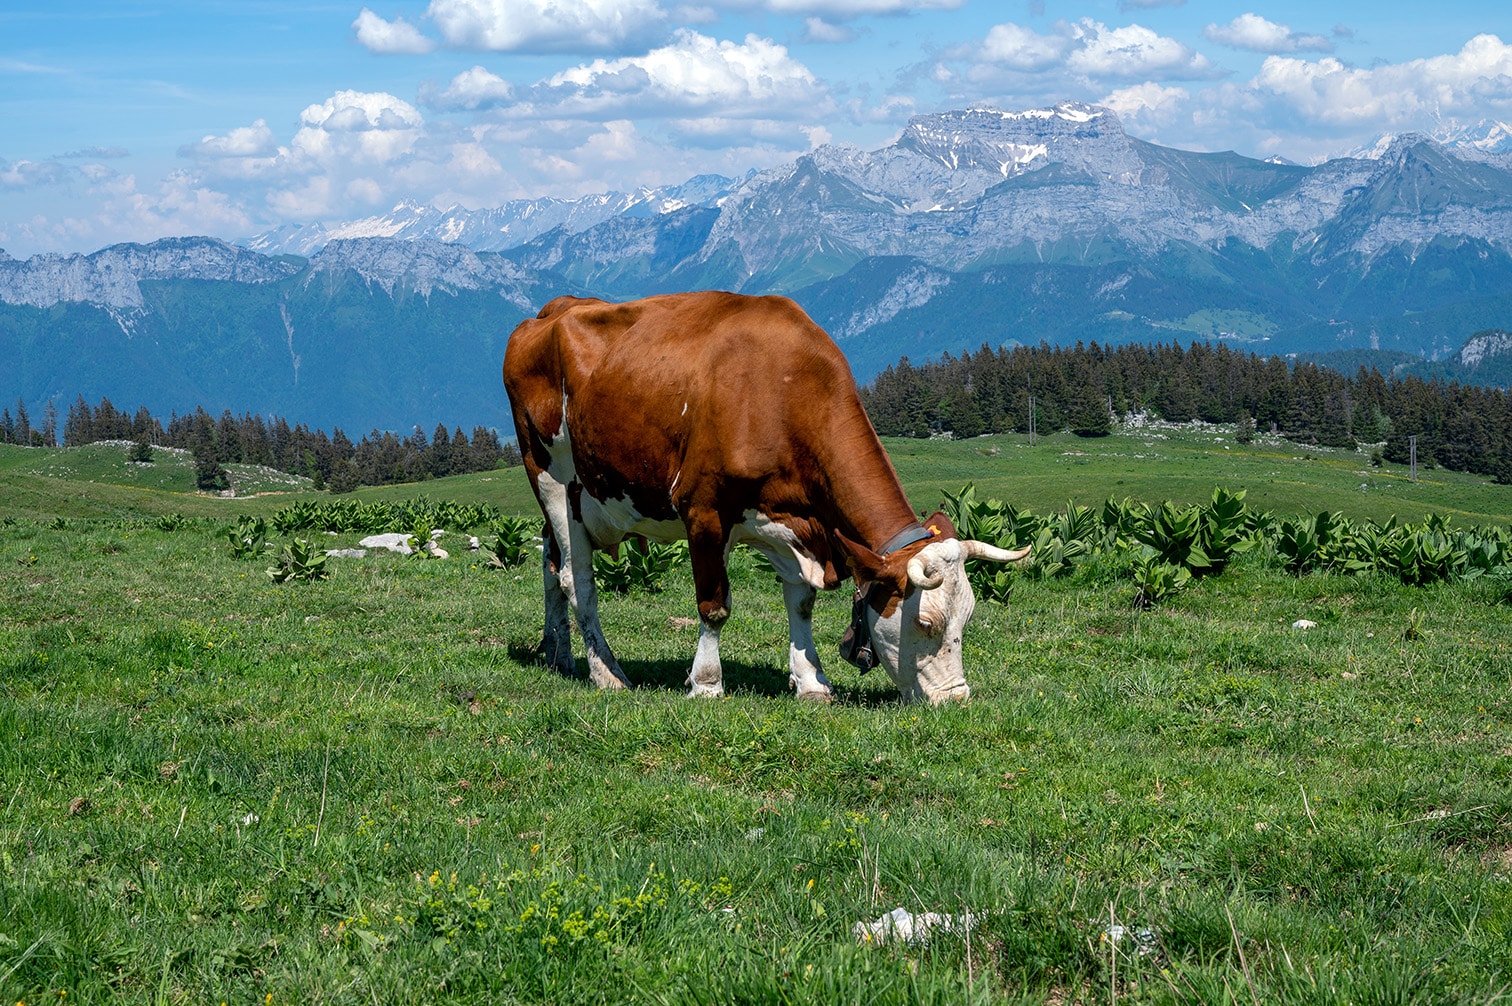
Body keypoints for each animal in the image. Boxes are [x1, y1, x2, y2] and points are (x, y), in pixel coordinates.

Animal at [498, 288, 1028, 698]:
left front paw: (812, 681)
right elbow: (714, 606)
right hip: (549, 477)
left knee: (550, 565)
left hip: (575, 498)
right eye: (926, 624)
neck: (781, 388)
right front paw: (706, 683)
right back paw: (606, 673)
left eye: (967, 619)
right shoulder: (704, 510)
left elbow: (802, 602)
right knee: (576, 579)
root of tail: (550, 312)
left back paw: (559, 653)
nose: (956, 699)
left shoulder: (793, 522)